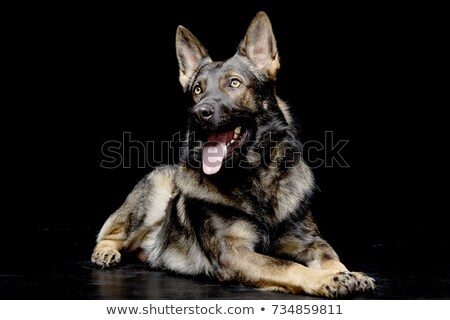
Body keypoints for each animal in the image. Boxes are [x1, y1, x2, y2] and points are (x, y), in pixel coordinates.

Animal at [89, 11, 374, 298]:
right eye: (197, 90)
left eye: (234, 83)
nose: (198, 113)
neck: (256, 178)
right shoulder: (234, 253)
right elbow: (285, 265)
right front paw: (325, 279)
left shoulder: (307, 240)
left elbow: (329, 254)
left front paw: (346, 273)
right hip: (152, 196)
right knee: (110, 234)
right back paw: (106, 253)